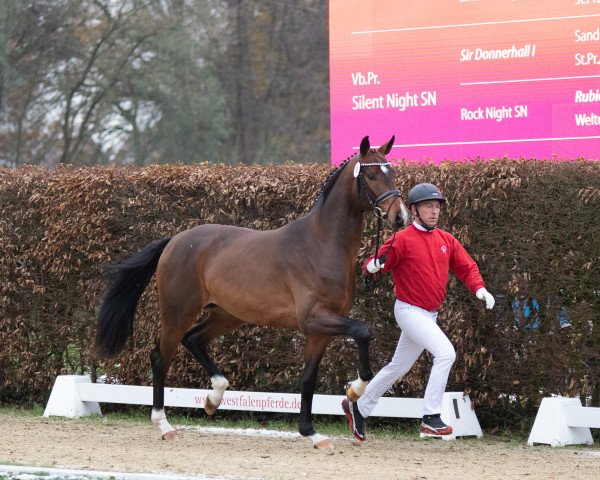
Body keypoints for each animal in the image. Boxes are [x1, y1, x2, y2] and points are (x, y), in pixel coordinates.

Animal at [96, 136, 410, 450]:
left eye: (392, 172)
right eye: (372, 175)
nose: (400, 216)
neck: (322, 244)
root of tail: (175, 240)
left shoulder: (320, 329)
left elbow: (308, 378)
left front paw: (312, 433)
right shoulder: (314, 318)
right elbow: (362, 331)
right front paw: (354, 391)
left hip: (227, 315)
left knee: (194, 340)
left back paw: (213, 398)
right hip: (177, 313)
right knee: (161, 357)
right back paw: (165, 425)